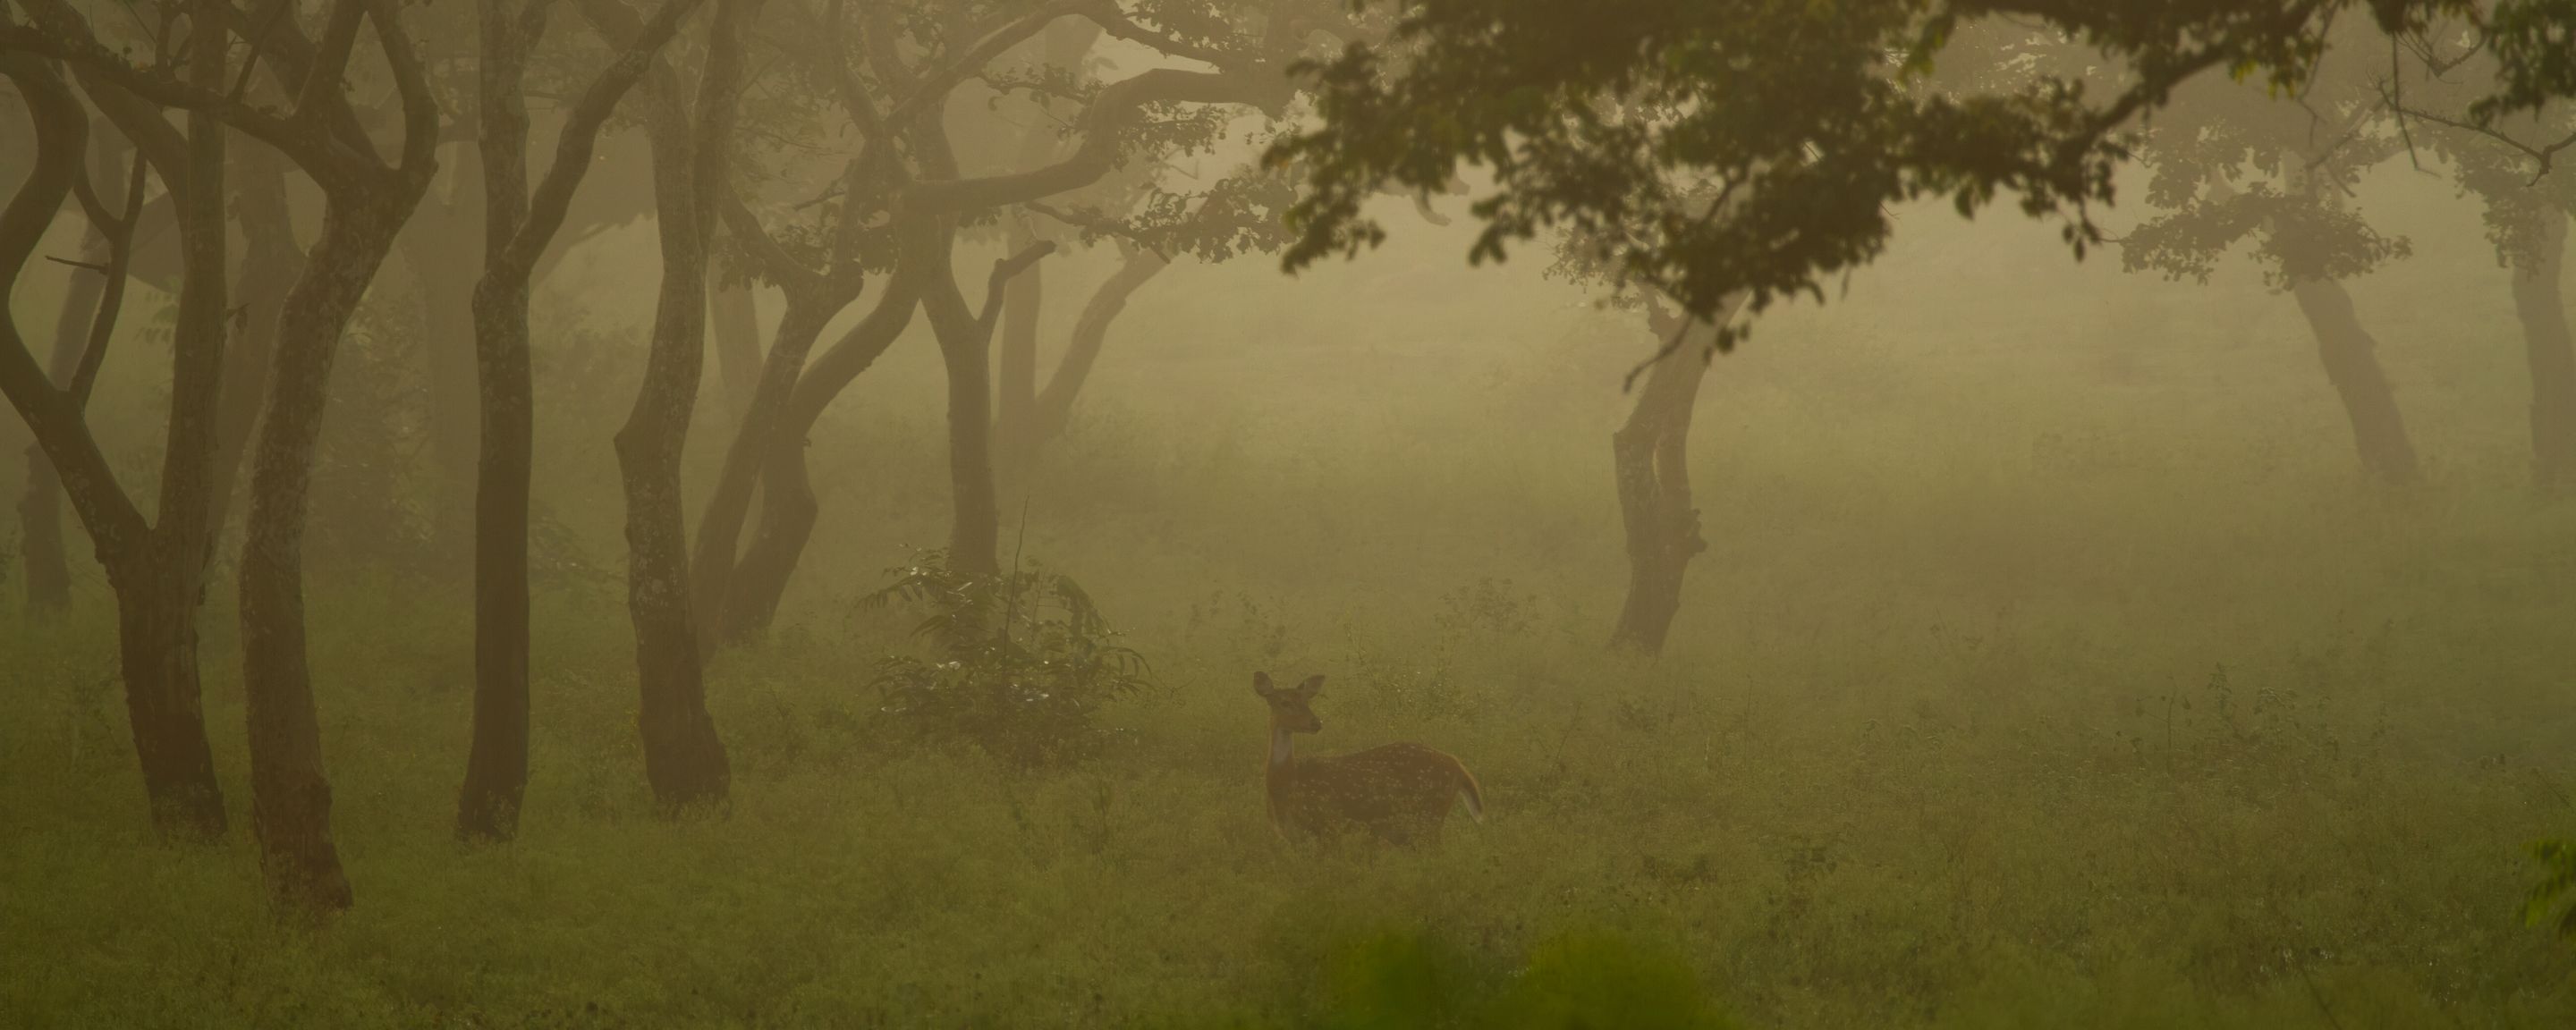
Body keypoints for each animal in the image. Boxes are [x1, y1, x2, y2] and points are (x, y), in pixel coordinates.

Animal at [1254, 672, 1484, 846]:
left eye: (1307, 701)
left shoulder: (1328, 823)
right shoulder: (1293, 836)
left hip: (1429, 816)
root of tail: (1457, 765)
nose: (1315, 723)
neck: (1286, 780)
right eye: (1285, 702)